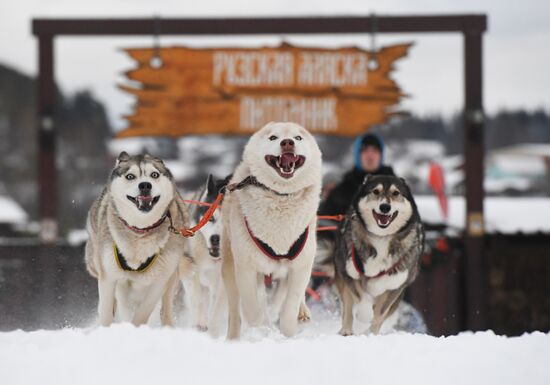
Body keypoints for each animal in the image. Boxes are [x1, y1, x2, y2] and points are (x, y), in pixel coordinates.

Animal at [84, 152, 192, 326]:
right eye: (130, 176)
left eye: (154, 174)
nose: (145, 185)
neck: (140, 231)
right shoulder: (109, 275)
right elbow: (106, 311)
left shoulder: (159, 281)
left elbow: (142, 314)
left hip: (170, 277)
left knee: (165, 307)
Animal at [222, 121, 324, 338]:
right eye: (273, 137)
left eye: (298, 137)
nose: (287, 142)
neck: (281, 196)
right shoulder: (246, 268)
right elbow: (252, 308)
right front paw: (261, 327)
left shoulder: (300, 266)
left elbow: (289, 306)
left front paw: (287, 332)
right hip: (230, 267)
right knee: (236, 311)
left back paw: (300, 312)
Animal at [332, 174, 426, 332]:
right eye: (376, 191)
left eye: (396, 193)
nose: (385, 207)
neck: (381, 237)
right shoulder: (348, 272)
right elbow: (360, 298)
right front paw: (364, 315)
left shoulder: (396, 286)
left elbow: (380, 312)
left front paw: (370, 331)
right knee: (348, 306)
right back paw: (346, 330)